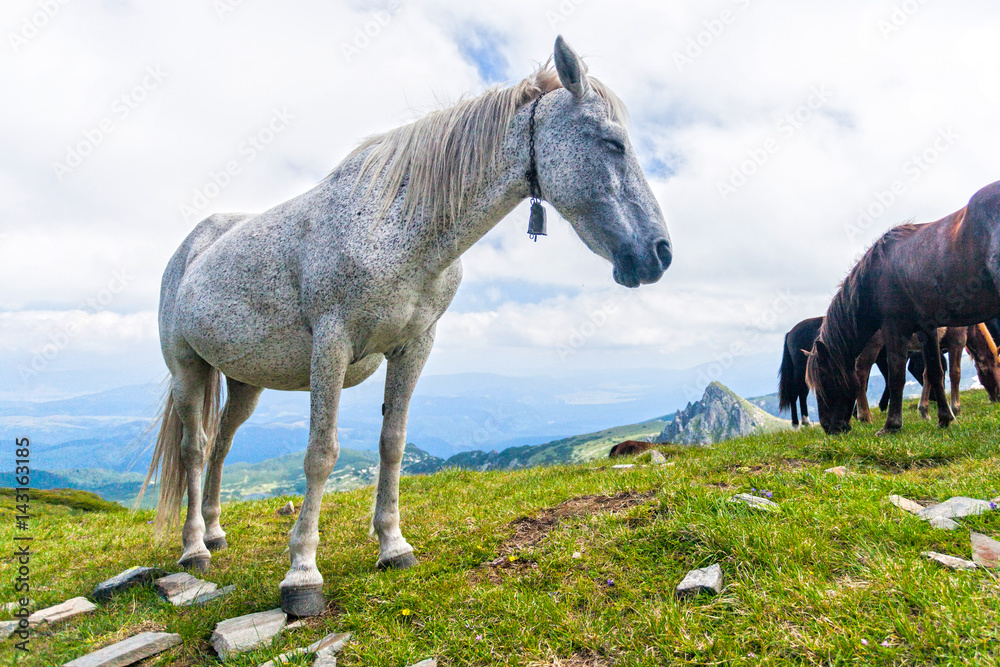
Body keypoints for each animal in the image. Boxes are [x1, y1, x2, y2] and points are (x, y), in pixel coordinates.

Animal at [138, 37, 672, 617]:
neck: (399, 230)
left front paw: (393, 545)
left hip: (244, 383)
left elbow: (392, 442)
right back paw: (194, 549)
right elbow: (321, 453)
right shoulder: (331, 344)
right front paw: (302, 574)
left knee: (220, 443)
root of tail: (192, 247)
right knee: (193, 448)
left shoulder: (415, 345)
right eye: (613, 143)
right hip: (188, 368)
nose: (660, 253)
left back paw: (214, 533)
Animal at [807, 180, 1000, 435]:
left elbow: (902, 374)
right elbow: (934, 372)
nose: (830, 428)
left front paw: (893, 424)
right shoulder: (927, 330)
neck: (876, 275)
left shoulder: (900, 328)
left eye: (824, 382)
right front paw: (944, 417)